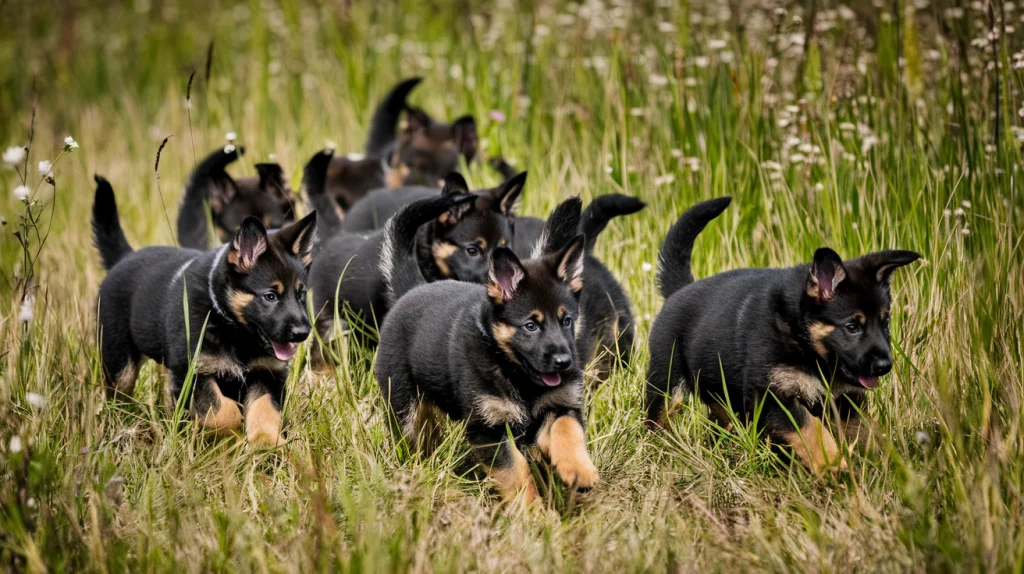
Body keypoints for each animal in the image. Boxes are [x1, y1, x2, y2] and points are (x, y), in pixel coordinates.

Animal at [647, 196, 921, 474]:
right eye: (852, 327)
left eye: (885, 323)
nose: (885, 366)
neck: (803, 339)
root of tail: (680, 289)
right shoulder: (774, 396)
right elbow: (814, 432)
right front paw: (834, 467)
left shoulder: (845, 401)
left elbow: (870, 433)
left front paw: (897, 467)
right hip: (667, 384)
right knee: (657, 419)